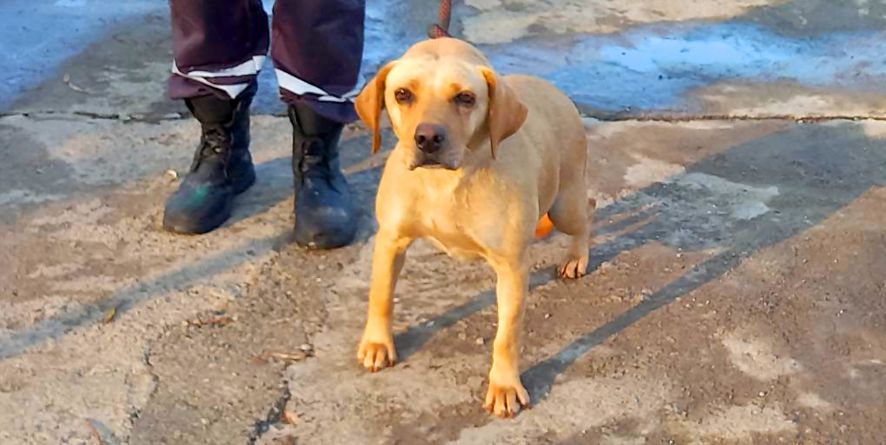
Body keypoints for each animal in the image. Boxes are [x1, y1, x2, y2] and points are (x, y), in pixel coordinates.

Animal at [358, 38, 592, 416]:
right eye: (402, 94)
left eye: (465, 98)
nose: (427, 138)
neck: (443, 182)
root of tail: (555, 91)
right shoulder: (391, 240)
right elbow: (380, 296)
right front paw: (378, 343)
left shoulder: (513, 267)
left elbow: (506, 336)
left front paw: (505, 385)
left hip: (564, 205)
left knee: (588, 210)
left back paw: (576, 257)